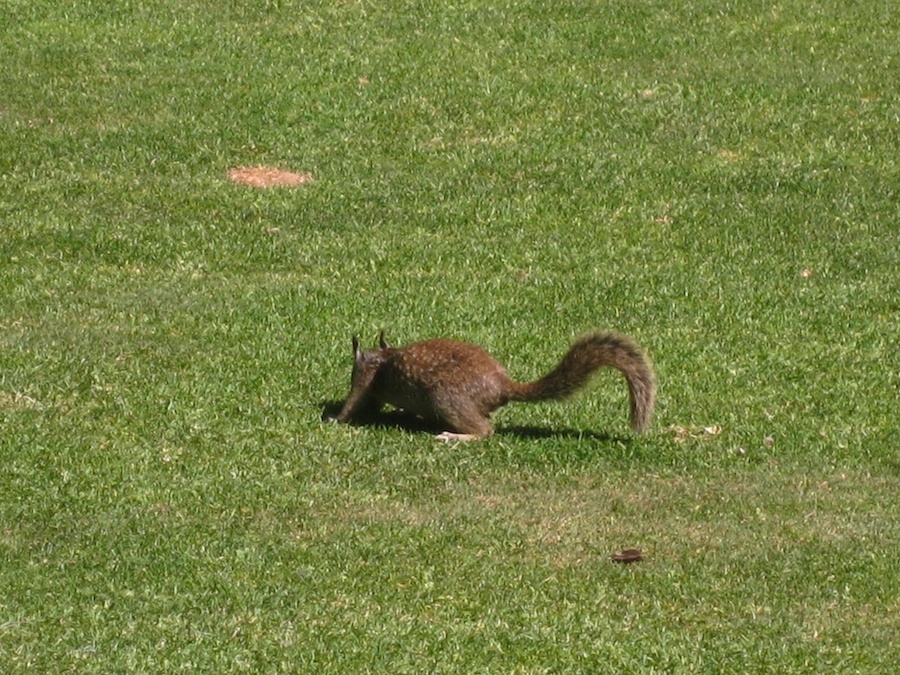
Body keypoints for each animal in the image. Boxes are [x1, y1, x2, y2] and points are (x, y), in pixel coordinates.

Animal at [330, 330, 652, 440]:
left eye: (353, 366)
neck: (383, 357)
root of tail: (502, 386)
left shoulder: (365, 378)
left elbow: (355, 399)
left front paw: (336, 418)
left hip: (447, 398)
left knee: (486, 430)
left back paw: (455, 436)